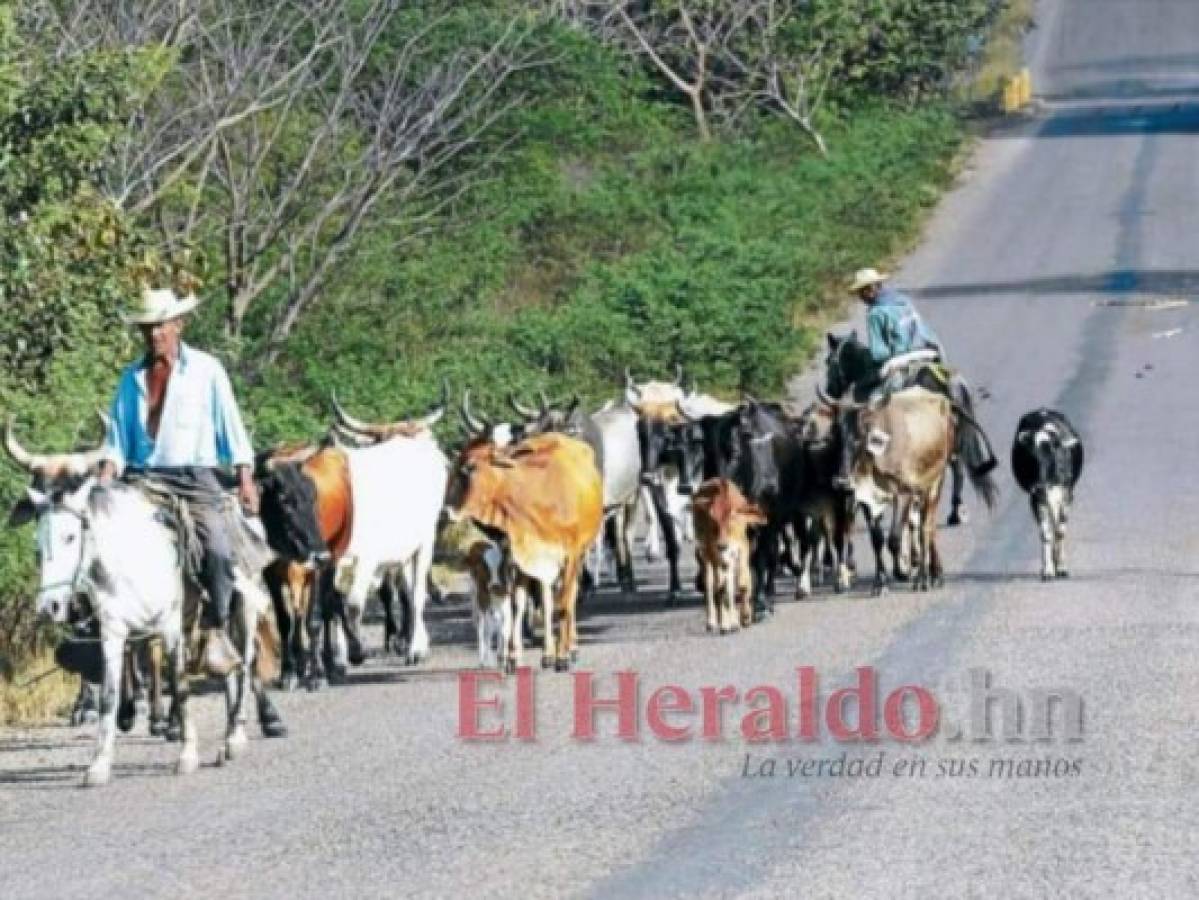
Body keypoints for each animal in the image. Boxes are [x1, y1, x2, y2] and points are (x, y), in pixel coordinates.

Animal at [448, 433, 604, 671]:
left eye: (470, 467)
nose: (447, 509)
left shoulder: (571, 555)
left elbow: (563, 606)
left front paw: (563, 657)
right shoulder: (518, 558)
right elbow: (516, 607)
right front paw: (513, 658)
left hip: (579, 556)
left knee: (569, 597)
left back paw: (570, 648)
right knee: (547, 600)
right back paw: (547, 653)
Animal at [695, 479, 767, 632]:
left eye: (732, 516)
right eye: (712, 519)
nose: (722, 545)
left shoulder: (742, 549)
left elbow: (741, 585)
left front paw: (745, 618)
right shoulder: (713, 552)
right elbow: (720, 588)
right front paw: (729, 623)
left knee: (727, 584)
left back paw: (732, 622)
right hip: (707, 555)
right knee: (711, 586)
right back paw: (714, 623)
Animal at [1011, 409, 1088, 580]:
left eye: (1051, 456)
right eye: (1029, 458)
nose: (1039, 486)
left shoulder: (1067, 494)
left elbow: (1060, 531)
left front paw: (1061, 567)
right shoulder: (1036, 498)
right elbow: (1046, 534)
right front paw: (1047, 570)